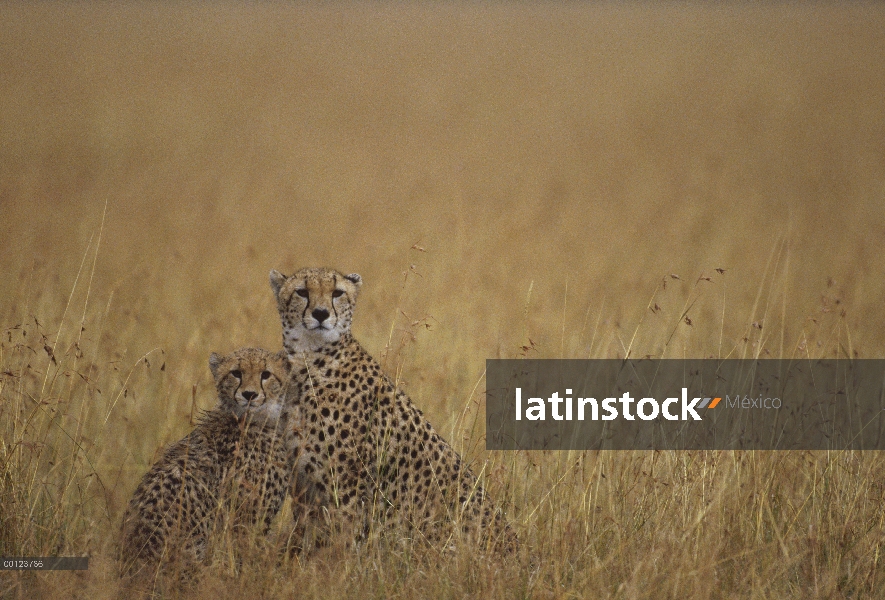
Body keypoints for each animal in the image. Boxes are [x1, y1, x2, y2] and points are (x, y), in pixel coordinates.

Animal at [272, 268, 516, 552]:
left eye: (337, 293)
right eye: (302, 292)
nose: (321, 313)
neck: (309, 358)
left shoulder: (347, 486)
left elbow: (344, 539)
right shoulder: (303, 485)